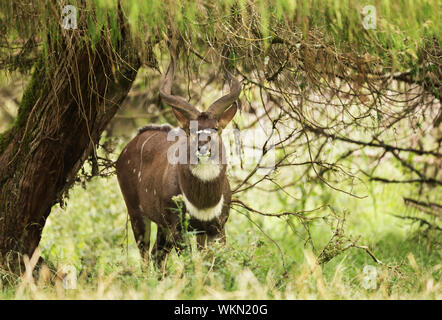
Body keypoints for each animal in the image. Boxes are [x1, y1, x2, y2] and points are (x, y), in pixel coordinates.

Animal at [115, 46, 240, 264]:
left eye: (216, 128)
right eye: (190, 129)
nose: (203, 147)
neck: (203, 201)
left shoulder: (216, 228)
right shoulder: (179, 227)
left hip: (163, 227)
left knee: (157, 256)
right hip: (137, 213)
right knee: (145, 257)